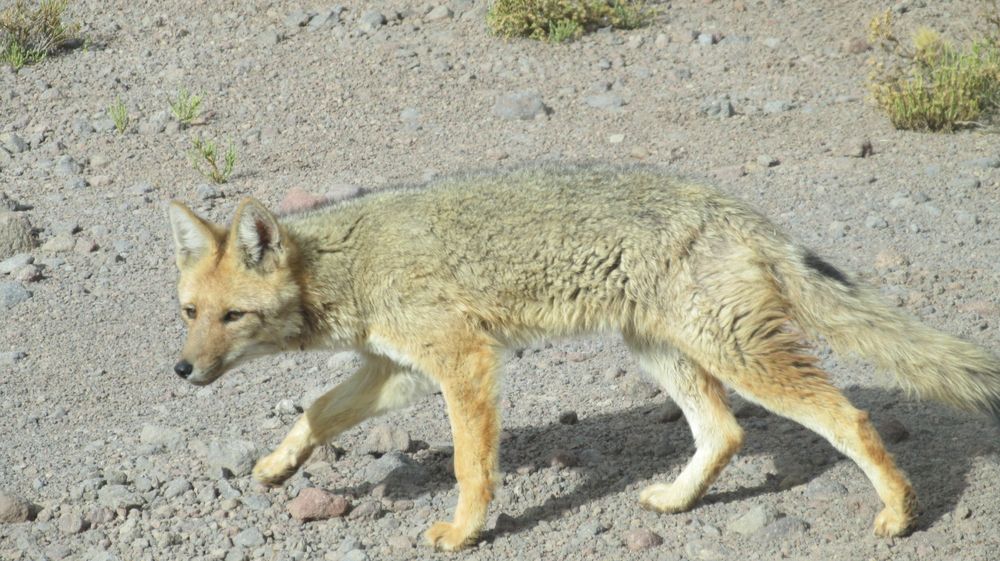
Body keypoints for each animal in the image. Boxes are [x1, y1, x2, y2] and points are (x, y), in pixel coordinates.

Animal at [168, 164, 1000, 548]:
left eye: (233, 316)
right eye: (189, 313)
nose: (181, 370)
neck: (352, 261)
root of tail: (738, 210)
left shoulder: (463, 360)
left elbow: (471, 464)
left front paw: (464, 530)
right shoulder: (398, 369)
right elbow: (316, 411)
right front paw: (275, 467)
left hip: (735, 354)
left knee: (847, 417)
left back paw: (899, 509)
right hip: (660, 350)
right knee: (726, 431)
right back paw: (677, 499)